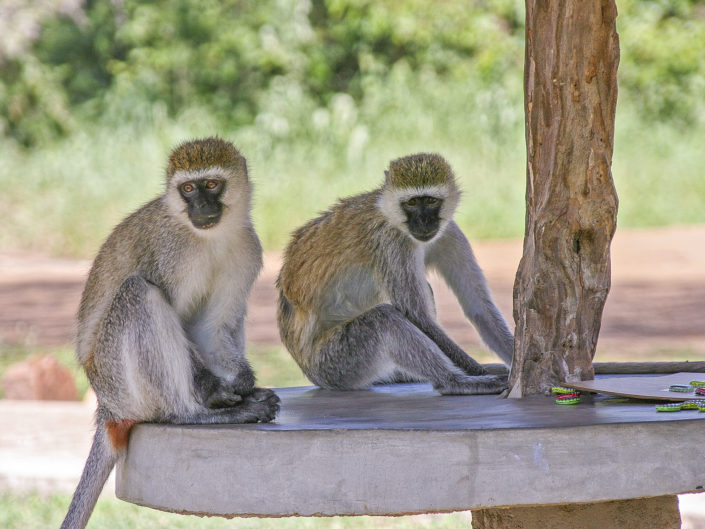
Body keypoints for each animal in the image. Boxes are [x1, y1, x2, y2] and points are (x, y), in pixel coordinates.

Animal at [60, 137, 280, 528]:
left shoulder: (247, 248)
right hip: (119, 382)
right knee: (138, 292)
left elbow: (210, 327)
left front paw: (242, 382)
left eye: (212, 184)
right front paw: (214, 390)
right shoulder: (170, 253)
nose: (202, 205)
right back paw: (196, 413)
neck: (209, 238)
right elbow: (177, 317)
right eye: (188, 189)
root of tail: (106, 408)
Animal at [278, 152, 516, 392]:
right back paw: (451, 382)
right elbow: (417, 317)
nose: (424, 221)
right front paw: (478, 371)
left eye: (431, 200)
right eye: (411, 202)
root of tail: (306, 368)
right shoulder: (391, 241)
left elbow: (478, 307)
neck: (391, 215)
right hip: (334, 364)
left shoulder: (450, 233)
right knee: (384, 319)